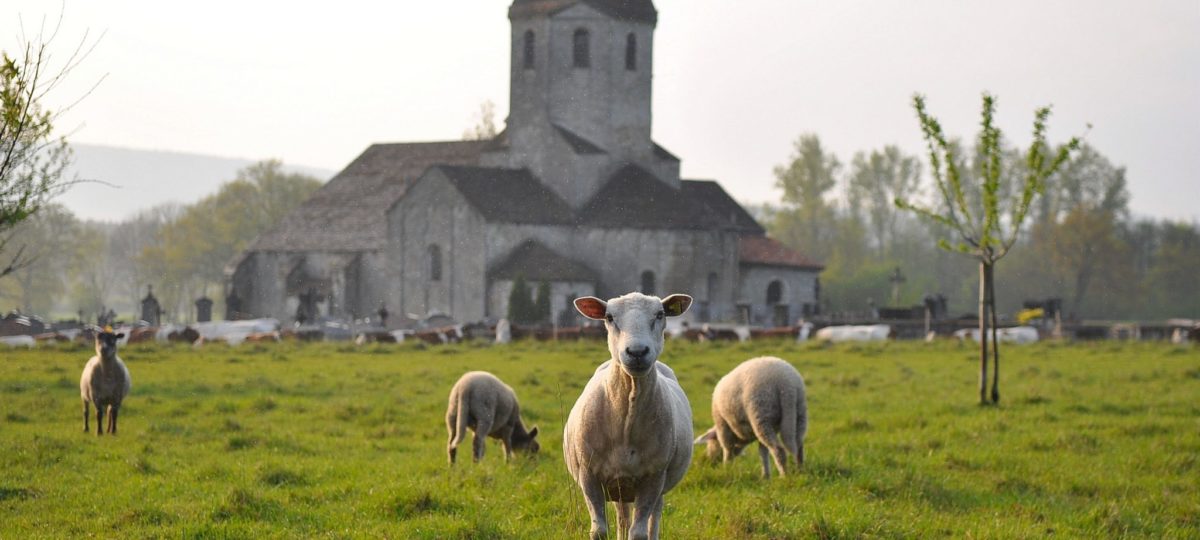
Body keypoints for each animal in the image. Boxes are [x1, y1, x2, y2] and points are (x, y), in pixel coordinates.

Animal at [568, 292, 700, 540]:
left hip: (653, 488)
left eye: (660, 314)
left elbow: (639, 533)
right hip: (620, 486)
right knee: (622, 518)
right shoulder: (589, 476)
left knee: (652, 520)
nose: (637, 352)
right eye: (609, 317)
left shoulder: (653, 477)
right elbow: (599, 530)